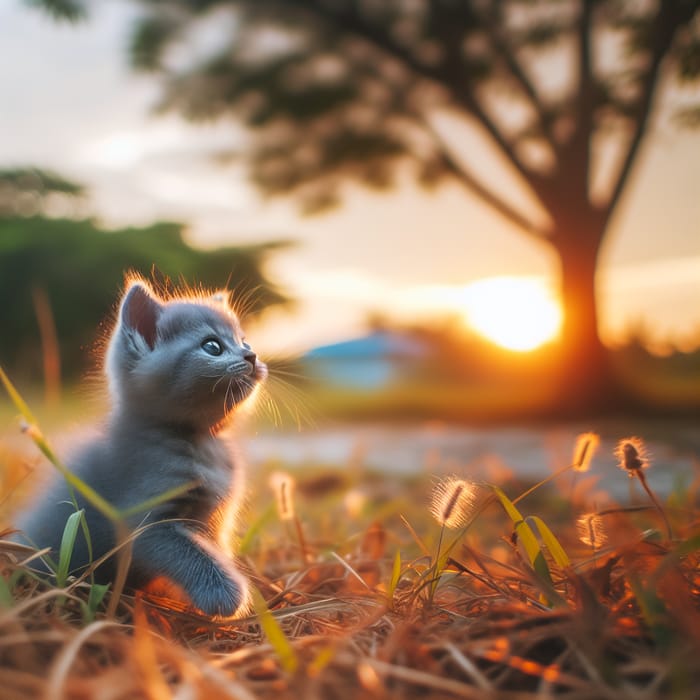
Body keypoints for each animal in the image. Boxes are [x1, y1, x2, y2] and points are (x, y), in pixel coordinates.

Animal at [14, 278, 266, 616]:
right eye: (213, 346)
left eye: (244, 342)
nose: (252, 356)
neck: (203, 444)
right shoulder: (143, 519)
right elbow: (189, 552)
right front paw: (226, 595)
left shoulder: (215, 521)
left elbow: (214, 548)